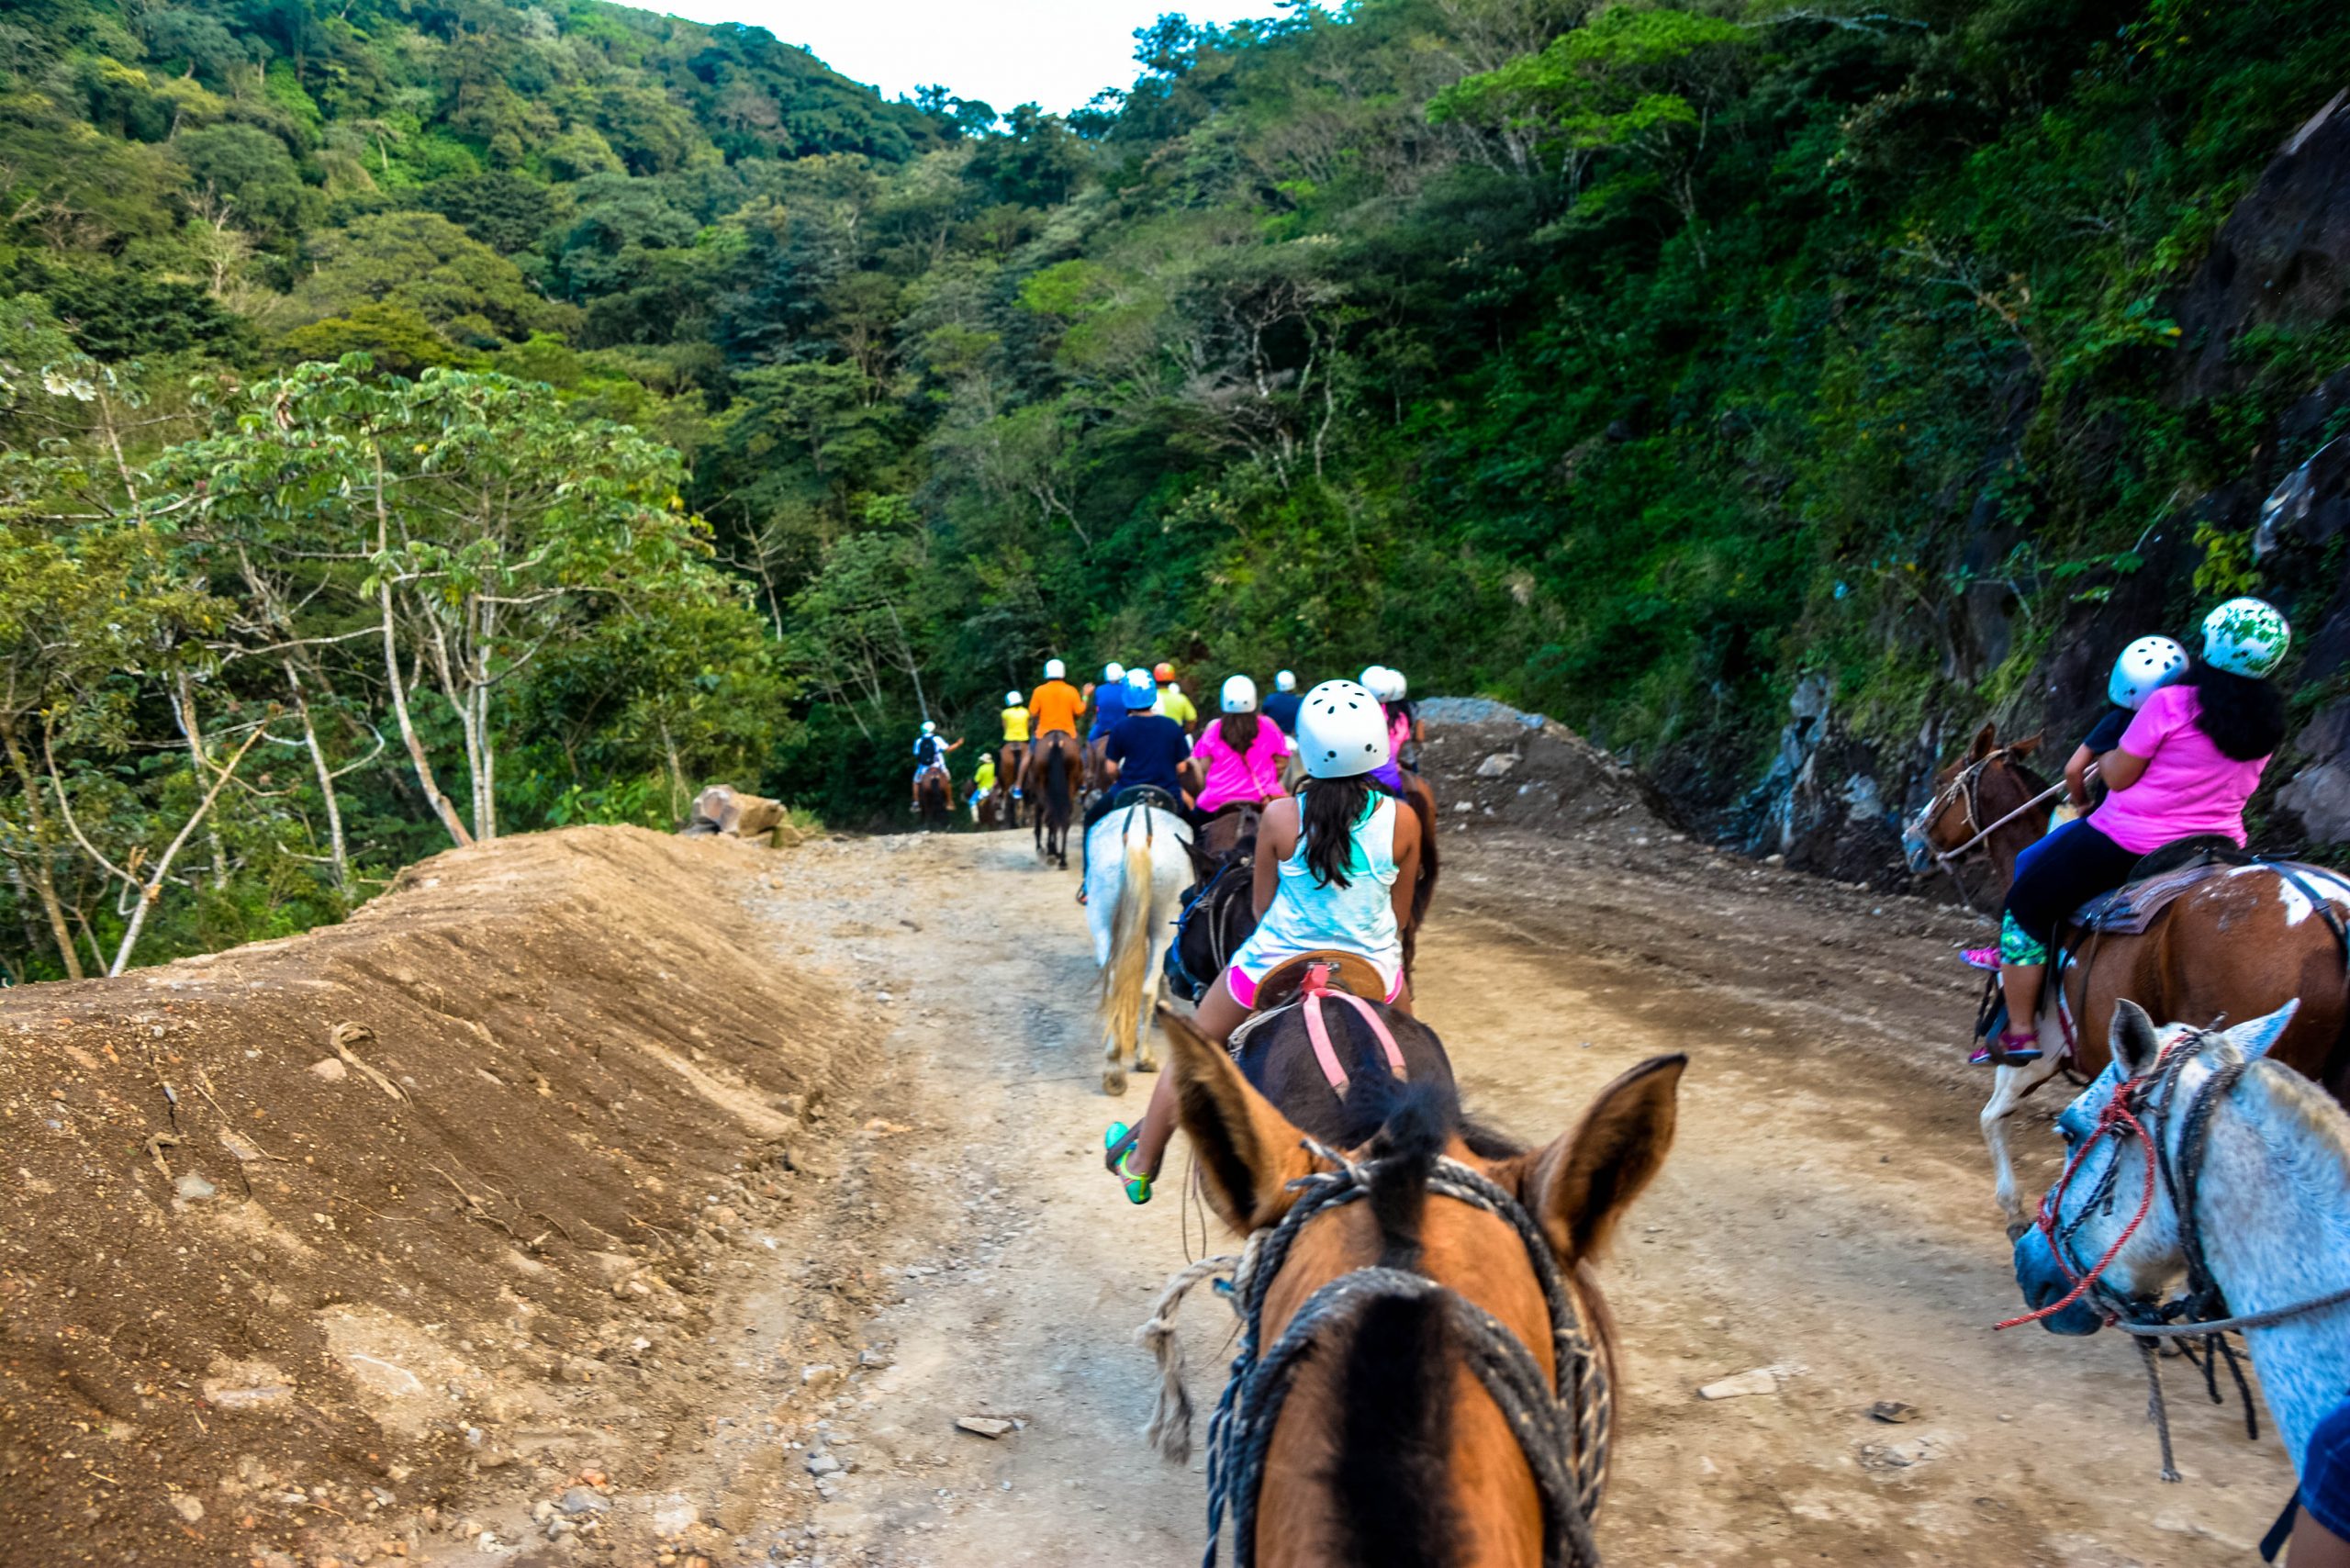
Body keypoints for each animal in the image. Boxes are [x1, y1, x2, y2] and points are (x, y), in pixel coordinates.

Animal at [1080, 803, 1193, 1100]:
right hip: (1164, 923)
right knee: (1147, 986)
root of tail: (1138, 837)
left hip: (1101, 921)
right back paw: (1144, 1058)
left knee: (1114, 989)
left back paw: (1114, 1068)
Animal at [1908, 728, 2350, 1241]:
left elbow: (1995, 1115)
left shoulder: (2043, 1049)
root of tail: (2334, 910)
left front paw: (2020, 1212)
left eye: (1942, 781)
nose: (1911, 839)